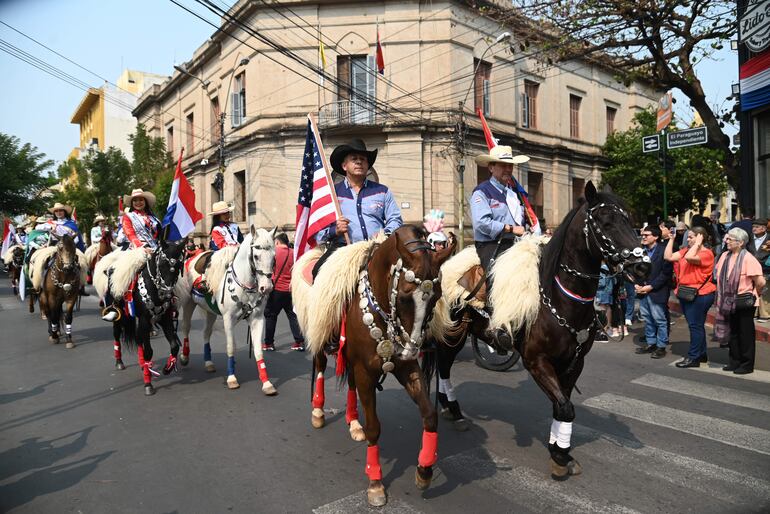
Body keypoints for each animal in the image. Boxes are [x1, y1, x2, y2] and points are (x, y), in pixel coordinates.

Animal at [94, 230, 188, 394]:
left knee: (138, 339)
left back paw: (143, 365)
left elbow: (174, 345)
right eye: (162, 264)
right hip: (119, 315)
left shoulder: (164, 318)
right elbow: (148, 351)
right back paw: (120, 362)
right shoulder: (144, 319)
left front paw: (167, 368)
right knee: (117, 334)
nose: (168, 294)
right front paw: (148, 384)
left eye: (179, 265)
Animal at [178, 225, 278, 392]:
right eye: (256, 256)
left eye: (274, 257)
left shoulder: (257, 319)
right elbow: (231, 347)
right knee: (186, 327)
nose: (267, 288)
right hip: (188, 304)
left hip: (210, 312)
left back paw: (208, 363)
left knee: (206, 333)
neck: (245, 285)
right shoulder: (228, 319)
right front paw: (232, 378)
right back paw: (184, 357)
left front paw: (266, 383)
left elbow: (258, 351)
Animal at [292, 224, 452, 504]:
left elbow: (429, 416)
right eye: (405, 298)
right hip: (320, 337)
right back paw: (318, 413)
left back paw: (354, 423)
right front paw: (375, 483)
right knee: (321, 368)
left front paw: (424, 470)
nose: (412, 348)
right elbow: (374, 428)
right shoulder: (366, 370)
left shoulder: (406, 368)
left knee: (351, 384)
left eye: (436, 298)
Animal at [424, 182, 644, 478]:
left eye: (630, 221)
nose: (643, 266)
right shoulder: (536, 360)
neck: (558, 296)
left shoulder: (574, 362)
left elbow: (561, 406)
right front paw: (560, 455)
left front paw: (559, 448)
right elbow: (565, 407)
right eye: (605, 222)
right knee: (445, 366)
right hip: (452, 332)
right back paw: (455, 409)